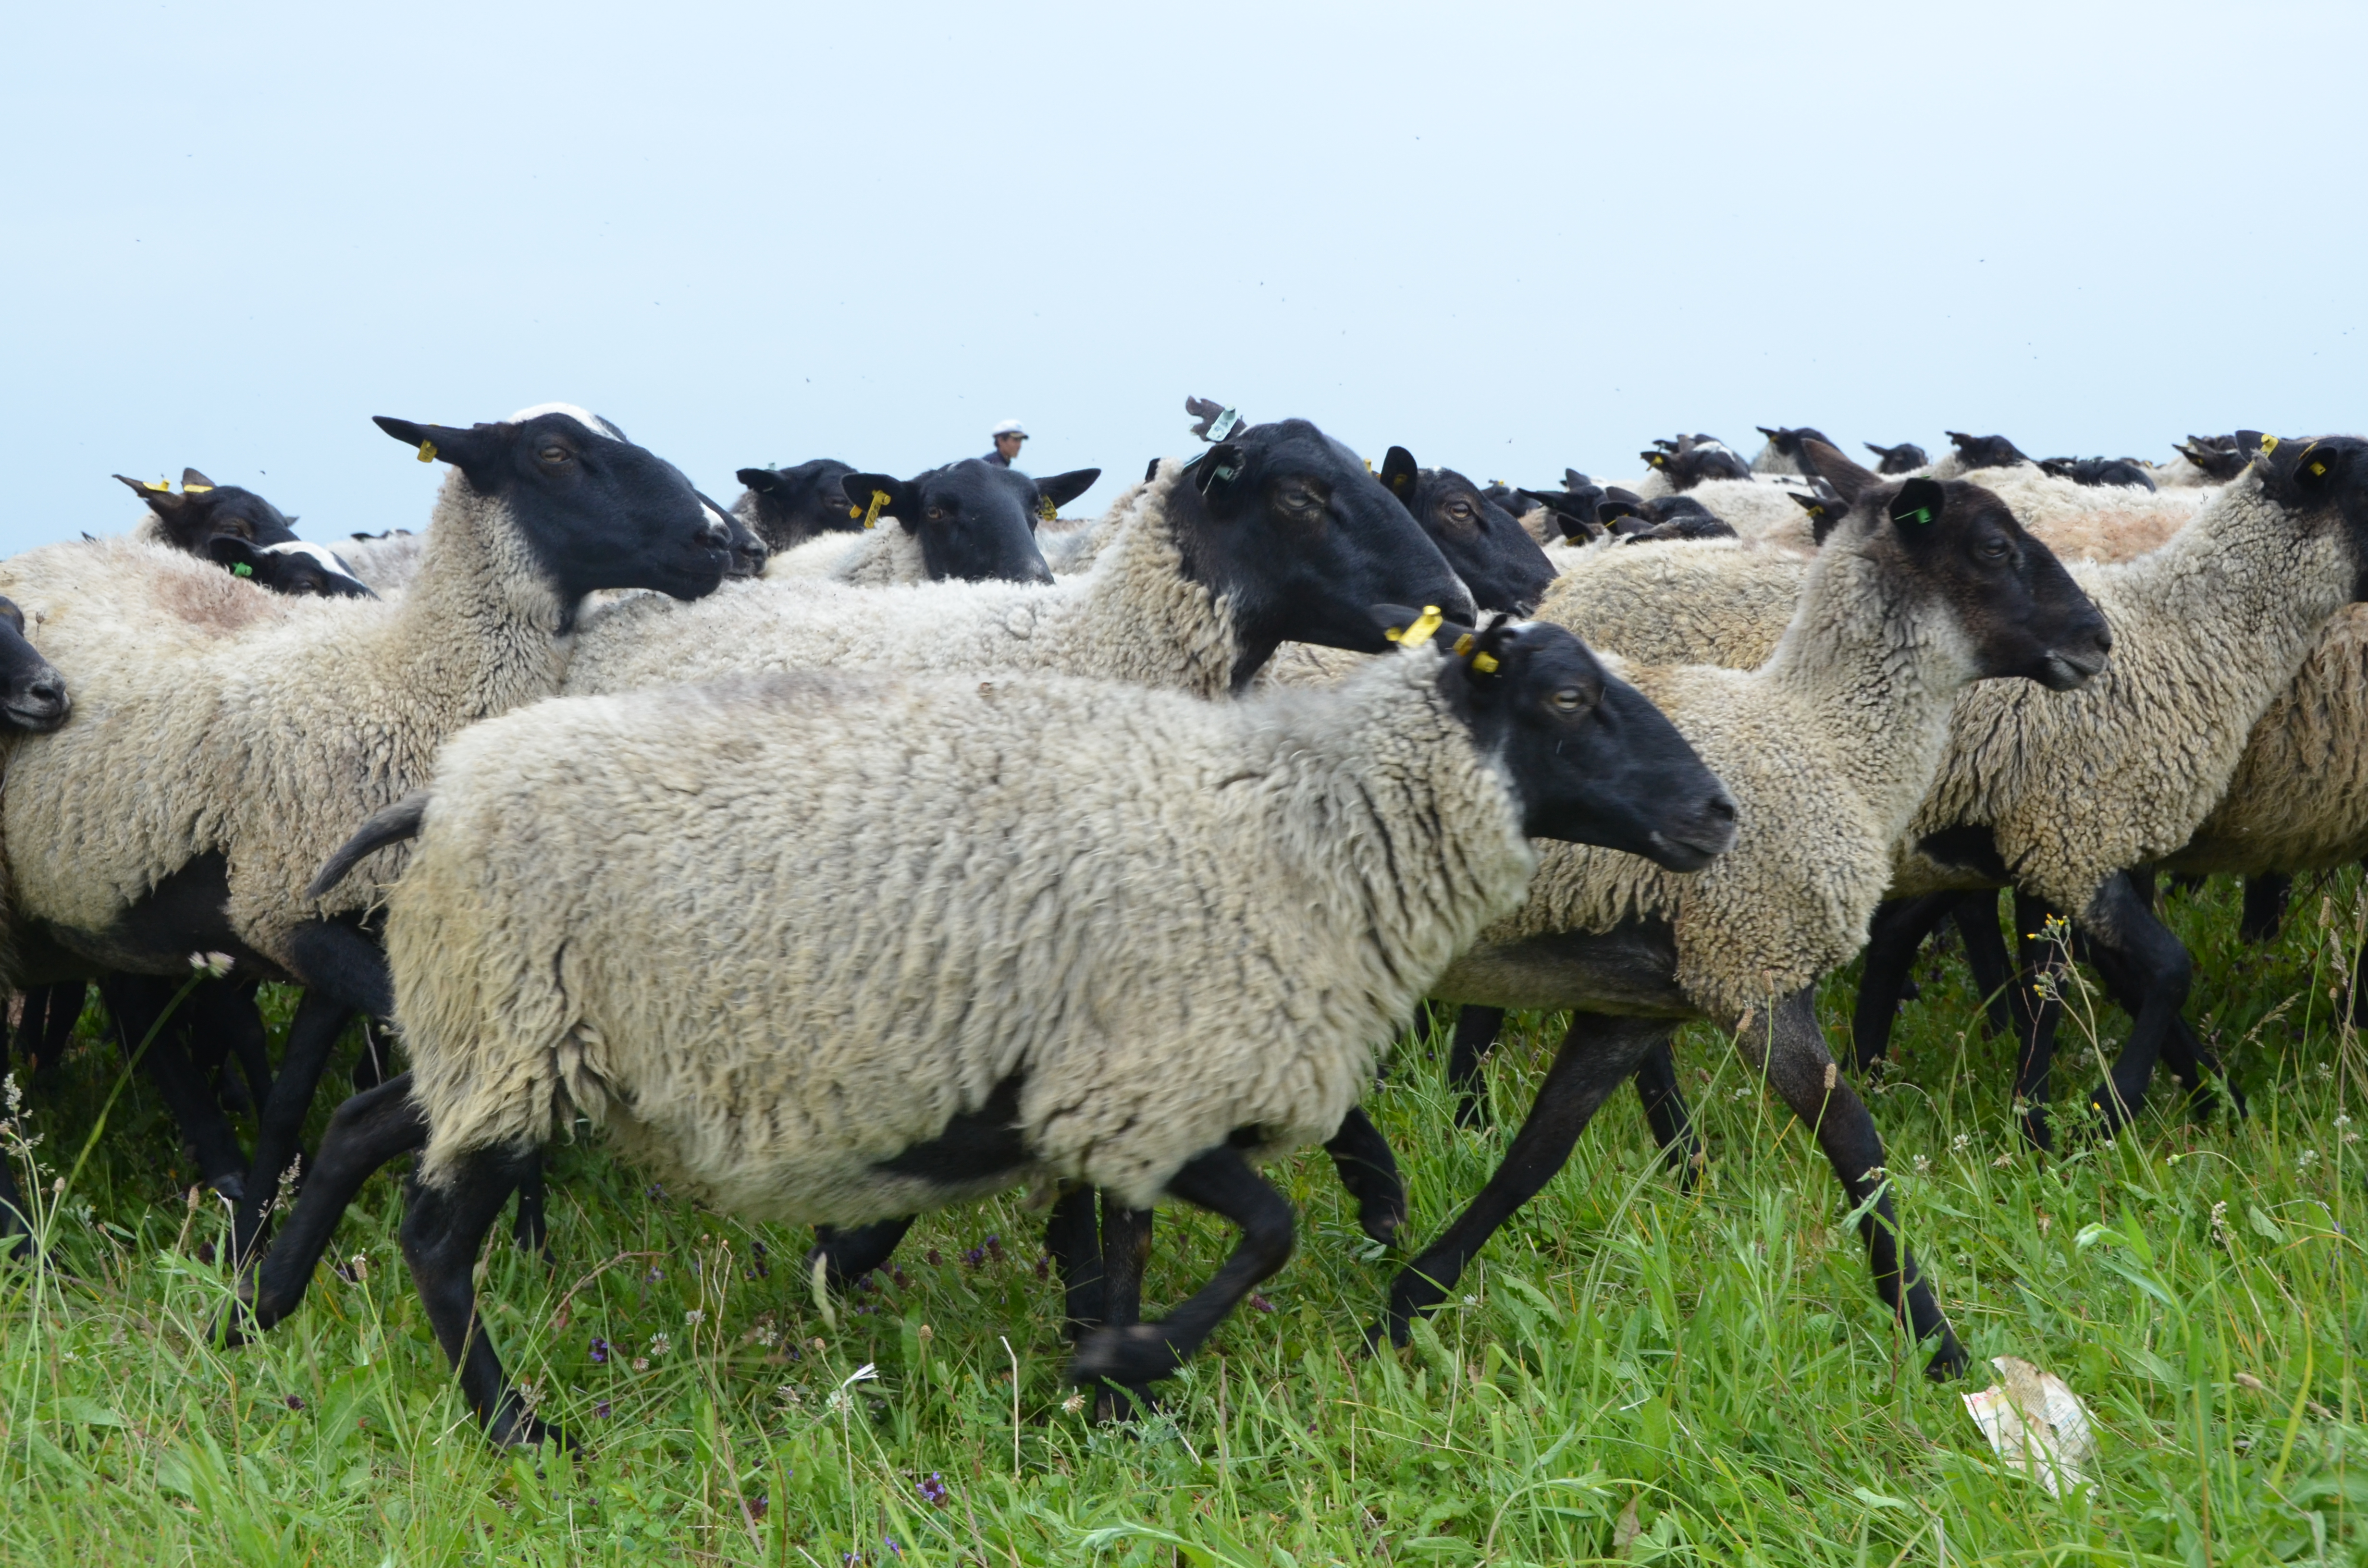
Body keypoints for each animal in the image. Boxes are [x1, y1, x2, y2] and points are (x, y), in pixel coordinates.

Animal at [0, 412, 729, 1260]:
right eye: (554, 453)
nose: (721, 543)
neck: (410, 684)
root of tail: (57, 550)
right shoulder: (285, 910)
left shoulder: (357, 923)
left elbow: (290, 1094)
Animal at [1382, 464, 2112, 1373]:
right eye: (1994, 547)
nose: (2098, 639)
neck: (1829, 741)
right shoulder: (1755, 972)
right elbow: (1858, 1145)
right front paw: (1934, 1339)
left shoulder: (1634, 1007)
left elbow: (1537, 1153)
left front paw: (1411, 1299)